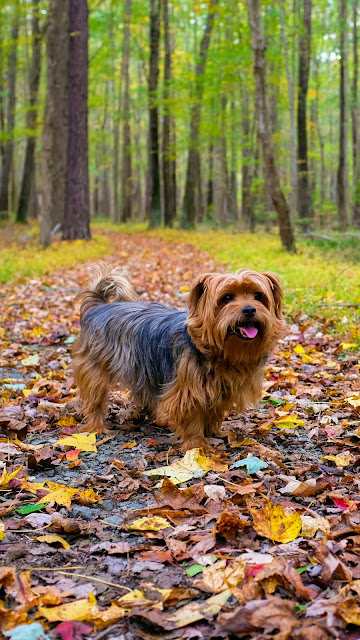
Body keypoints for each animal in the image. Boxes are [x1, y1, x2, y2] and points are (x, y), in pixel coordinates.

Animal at [73, 264, 286, 450]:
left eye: (258, 296)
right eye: (227, 298)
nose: (250, 309)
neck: (223, 352)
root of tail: (98, 307)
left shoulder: (219, 389)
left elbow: (213, 412)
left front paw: (211, 433)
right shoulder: (189, 389)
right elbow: (192, 417)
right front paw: (197, 446)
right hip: (95, 369)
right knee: (95, 398)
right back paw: (96, 428)